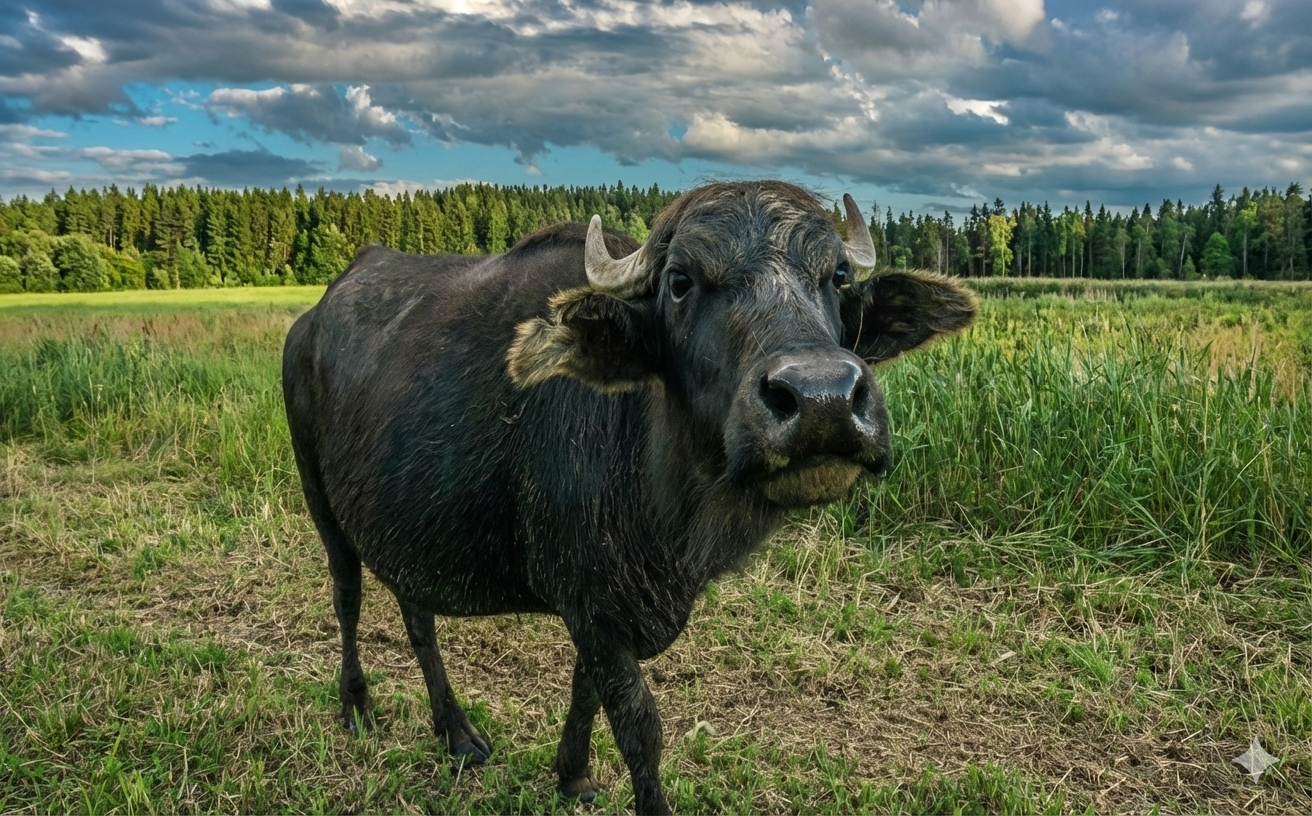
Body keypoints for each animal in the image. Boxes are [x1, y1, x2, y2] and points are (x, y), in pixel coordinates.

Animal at [283, 181, 976, 814]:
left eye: (836, 274)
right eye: (680, 282)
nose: (822, 399)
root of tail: (309, 323)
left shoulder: (604, 606)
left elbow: (586, 689)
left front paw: (572, 775)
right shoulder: (591, 602)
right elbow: (639, 726)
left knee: (417, 615)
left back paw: (455, 732)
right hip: (323, 507)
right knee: (347, 597)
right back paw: (357, 707)